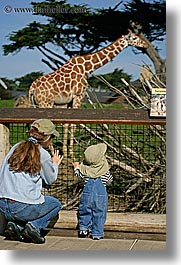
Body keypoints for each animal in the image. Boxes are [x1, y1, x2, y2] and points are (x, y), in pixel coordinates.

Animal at [28, 29, 147, 157]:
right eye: (134, 38)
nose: (145, 45)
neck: (87, 68)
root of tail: (32, 88)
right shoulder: (79, 96)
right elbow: (73, 124)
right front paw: (71, 153)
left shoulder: (69, 101)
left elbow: (66, 124)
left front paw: (65, 151)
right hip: (46, 104)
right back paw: (49, 152)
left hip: (36, 104)